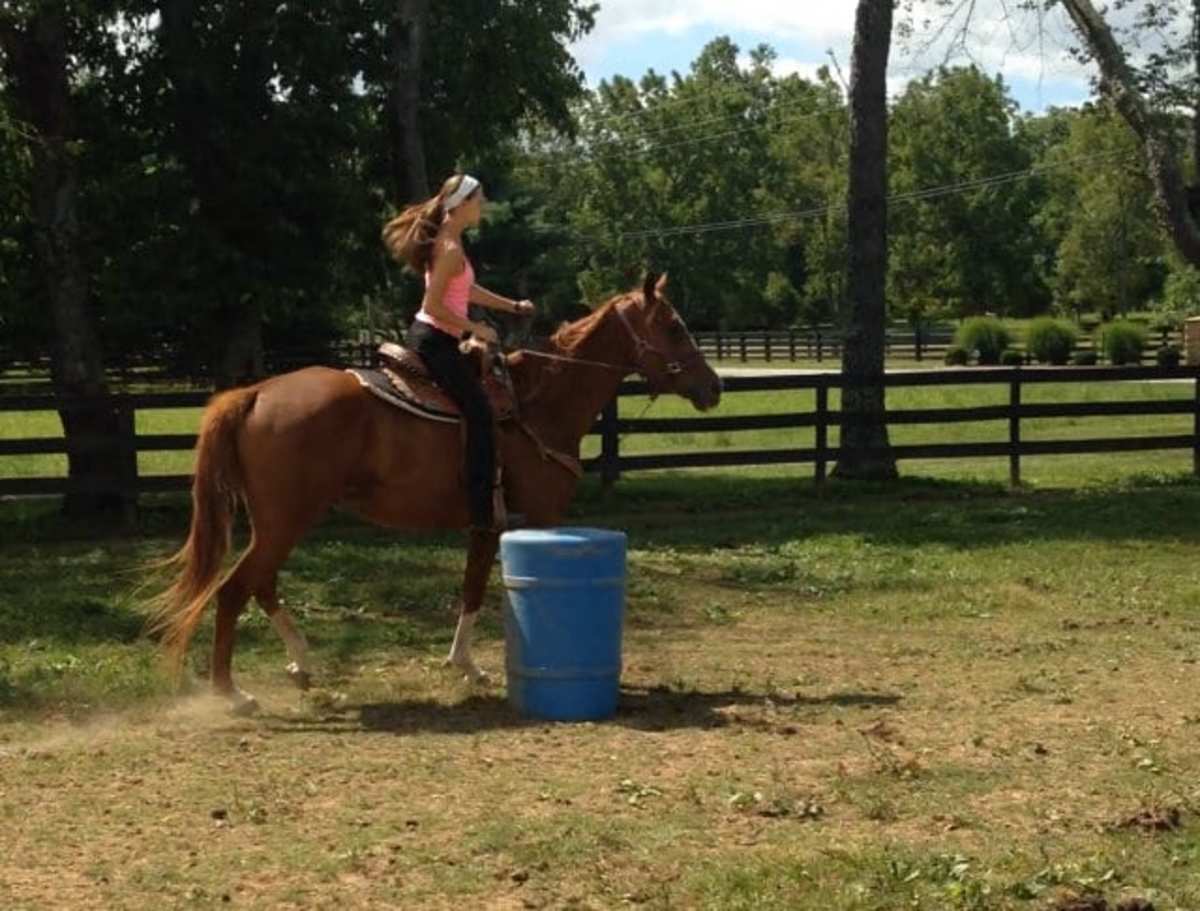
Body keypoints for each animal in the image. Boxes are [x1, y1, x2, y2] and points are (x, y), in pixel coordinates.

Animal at [148, 272, 721, 713]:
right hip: (286, 519)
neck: (537, 403)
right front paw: (470, 667)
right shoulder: (539, 516)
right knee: (235, 589)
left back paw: (302, 665)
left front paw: (466, 666)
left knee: (261, 584)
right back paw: (232, 693)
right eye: (674, 327)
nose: (713, 386)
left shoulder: (486, 523)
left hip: (279, 521)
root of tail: (256, 392)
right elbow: (481, 590)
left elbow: (471, 588)